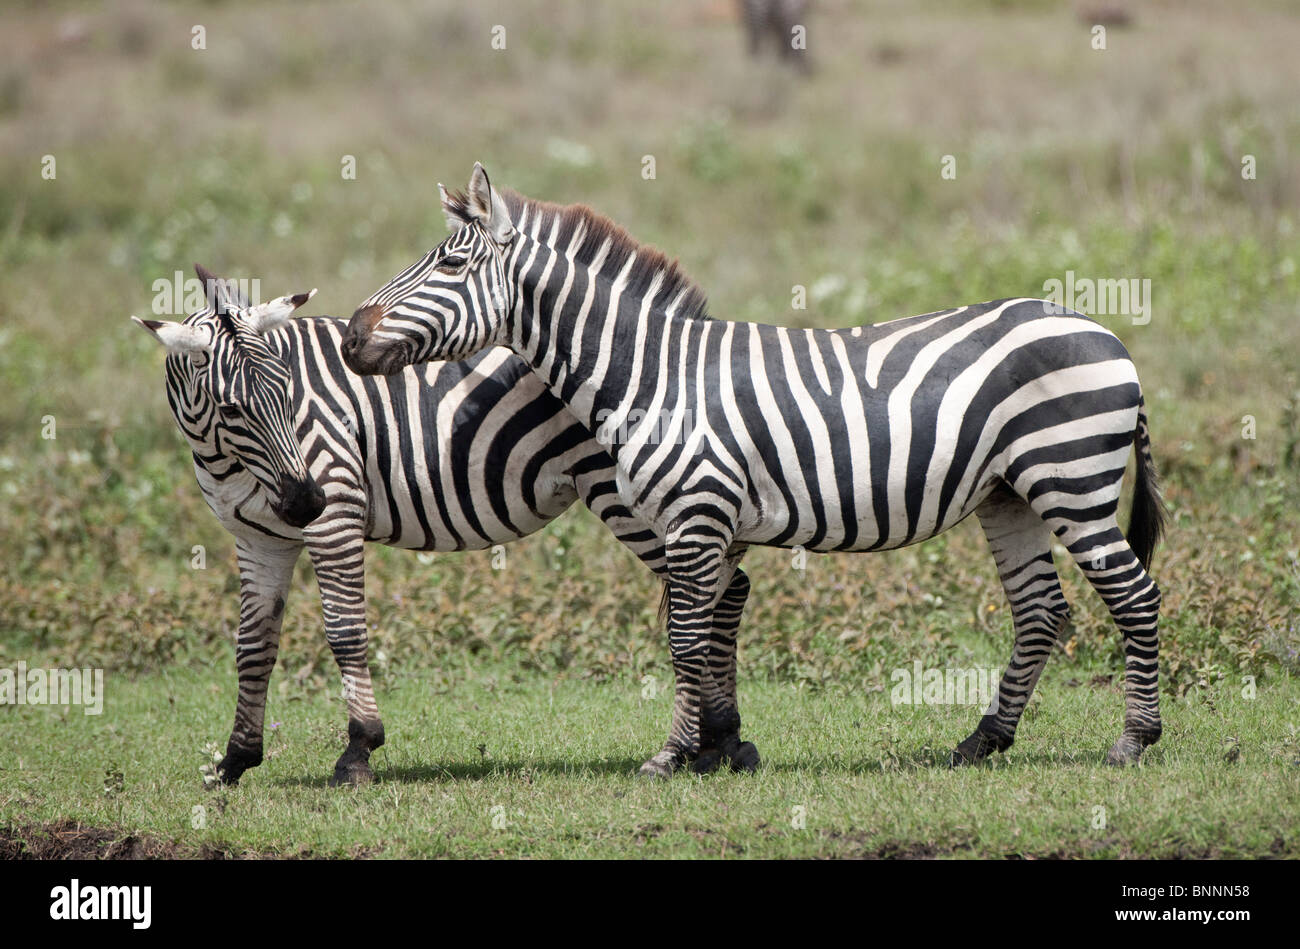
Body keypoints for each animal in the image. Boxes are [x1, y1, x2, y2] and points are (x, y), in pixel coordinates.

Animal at [134, 264, 758, 786]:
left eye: (289, 391)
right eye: (231, 408)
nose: (304, 501)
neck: (228, 457)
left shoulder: (336, 510)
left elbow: (345, 632)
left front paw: (358, 751)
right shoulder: (259, 539)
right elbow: (253, 646)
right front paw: (235, 760)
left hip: (638, 497)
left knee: (719, 592)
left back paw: (715, 742)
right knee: (725, 589)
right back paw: (720, 742)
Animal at [342, 163, 1168, 777]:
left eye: (450, 263)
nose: (351, 335)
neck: (655, 374)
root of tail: (1107, 334)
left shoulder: (697, 513)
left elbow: (685, 637)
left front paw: (672, 754)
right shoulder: (711, 526)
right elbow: (708, 630)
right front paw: (715, 745)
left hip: (1071, 477)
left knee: (1134, 595)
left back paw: (1134, 739)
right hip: (1010, 494)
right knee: (1041, 610)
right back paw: (983, 739)